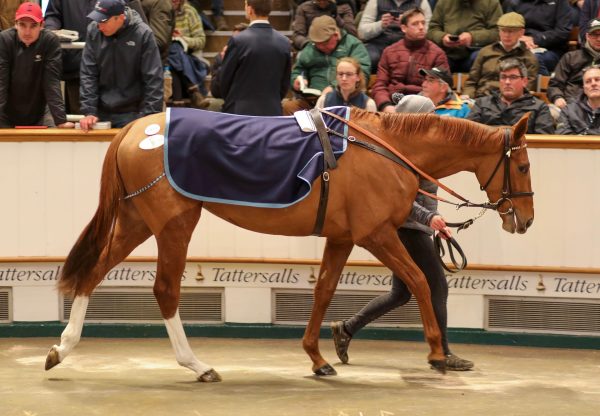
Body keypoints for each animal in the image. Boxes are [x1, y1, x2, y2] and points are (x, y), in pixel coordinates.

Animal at [43, 109, 536, 382]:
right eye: (524, 166)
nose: (526, 220)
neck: (386, 150)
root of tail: (133, 129)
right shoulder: (375, 234)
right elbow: (417, 281)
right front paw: (437, 353)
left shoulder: (342, 237)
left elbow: (324, 291)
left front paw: (319, 357)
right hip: (173, 224)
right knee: (165, 290)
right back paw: (197, 365)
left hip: (136, 222)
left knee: (93, 271)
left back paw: (61, 349)